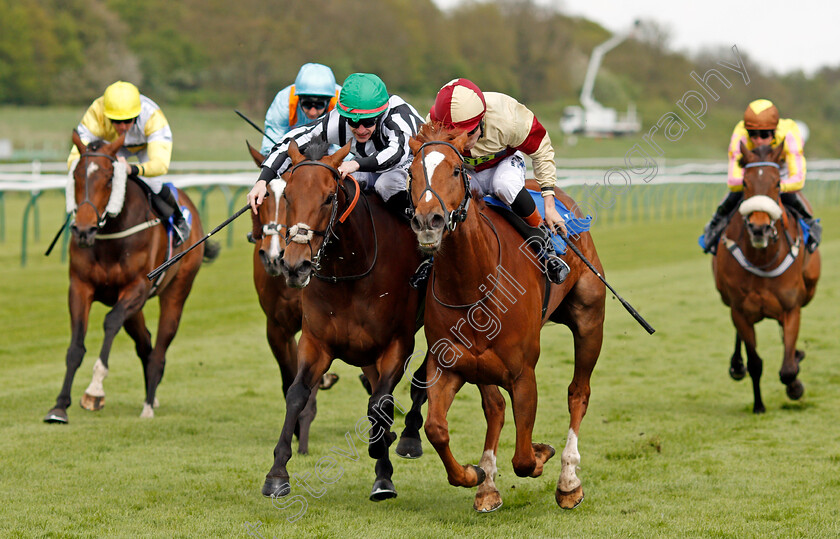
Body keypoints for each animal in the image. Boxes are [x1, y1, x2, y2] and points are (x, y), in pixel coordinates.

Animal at [44, 129, 218, 424]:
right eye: (76, 176)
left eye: (108, 178)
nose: (83, 230)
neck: (110, 236)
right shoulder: (80, 286)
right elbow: (76, 346)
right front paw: (59, 406)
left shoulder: (136, 286)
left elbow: (110, 321)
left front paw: (94, 391)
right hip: (134, 308)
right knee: (145, 342)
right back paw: (152, 392)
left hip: (176, 290)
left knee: (159, 347)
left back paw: (148, 404)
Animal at [262, 139, 430, 502]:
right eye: (288, 196)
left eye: (329, 197)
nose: (294, 266)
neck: (351, 269)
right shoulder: (316, 342)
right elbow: (296, 393)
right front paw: (277, 474)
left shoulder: (398, 343)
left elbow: (378, 403)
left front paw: (382, 451)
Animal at [406, 124, 604, 512]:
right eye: (410, 172)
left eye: (456, 170)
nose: (427, 221)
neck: (471, 283)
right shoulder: (449, 364)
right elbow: (436, 428)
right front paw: (474, 475)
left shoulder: (523, 372)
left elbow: (524, 458)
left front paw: (542, 455)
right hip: (481, 365)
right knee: (494, 407)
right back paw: (487, 487)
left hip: (590, 321)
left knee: (579, 393)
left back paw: (568, 481)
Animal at [712, 142, 816, 414]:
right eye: (745, 183)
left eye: (777, 183)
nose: (759, 228)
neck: (762, 259)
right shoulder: (740, 310)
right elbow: (756, 363)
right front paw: (758, 405)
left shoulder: (791, 308)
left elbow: (788, 369)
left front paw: (795, 385)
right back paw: (737, 365)